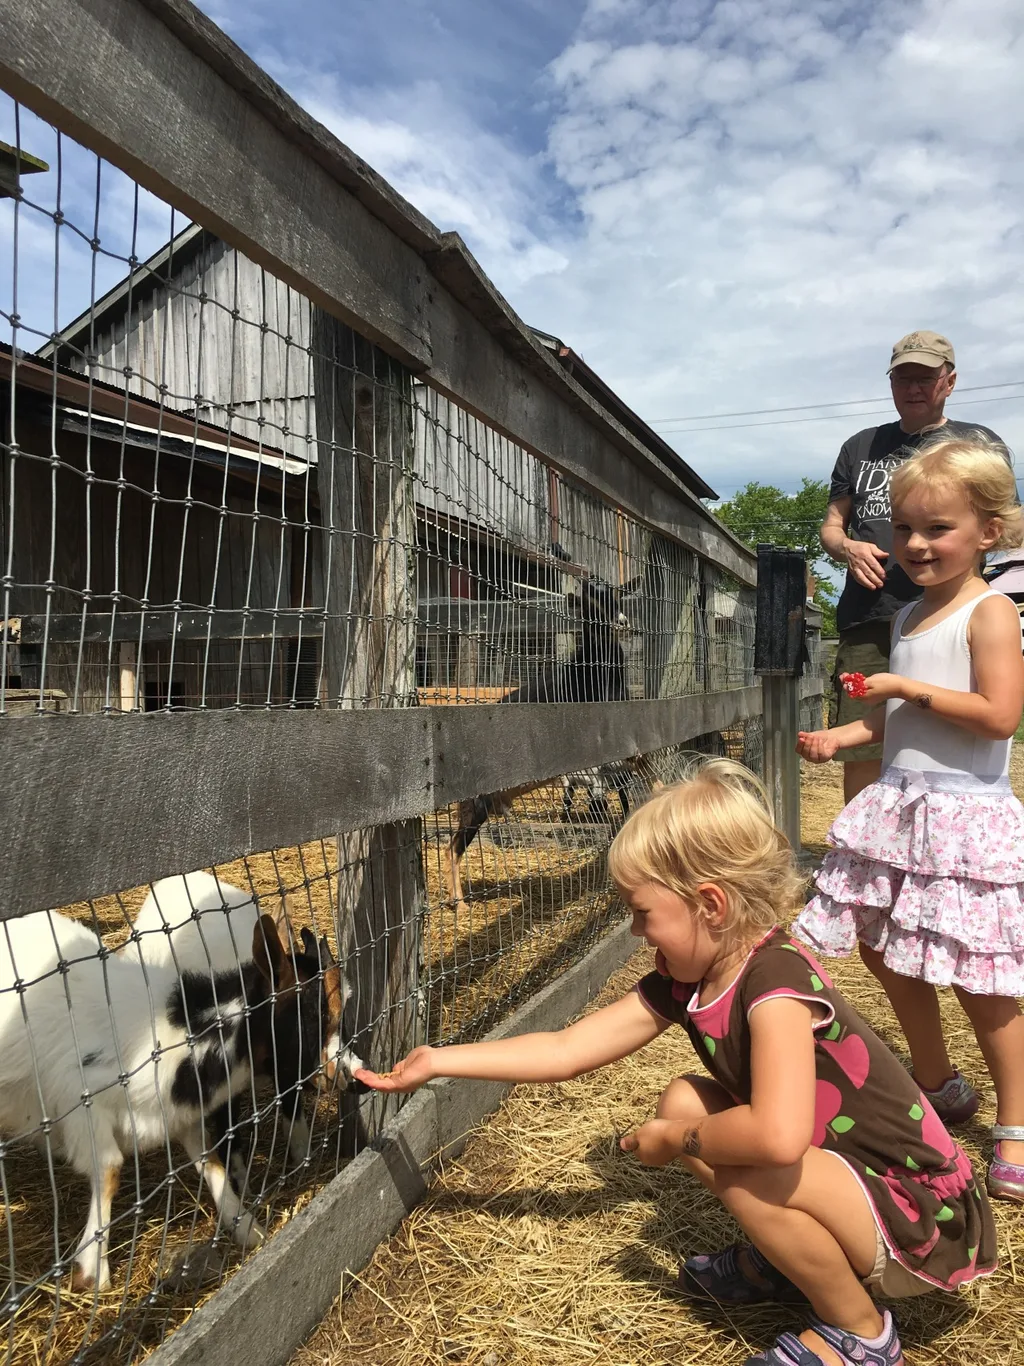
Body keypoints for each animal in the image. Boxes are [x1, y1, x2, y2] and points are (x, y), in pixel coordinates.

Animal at [0, 904, 352, 1292]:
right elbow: (109, 1168)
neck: (171, 1036)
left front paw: (248, 1228)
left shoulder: (179, 1114)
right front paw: (94, 1270)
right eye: (313, 1014)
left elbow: (212, 1162)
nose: (344, 1075)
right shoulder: (80, 1103)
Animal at [122, 871, 365, 1192]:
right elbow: (228, 1128)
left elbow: (293, 1108)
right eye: (312, 1014)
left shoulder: (287, 1066)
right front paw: (240, 1181)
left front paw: (301, 1160)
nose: (349, 1075)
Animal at [443, 551, 636, 913]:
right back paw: (460, 906)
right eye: (588, 602)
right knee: (453, 848)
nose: (621, 622)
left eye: (617, 596)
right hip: (475, 803)